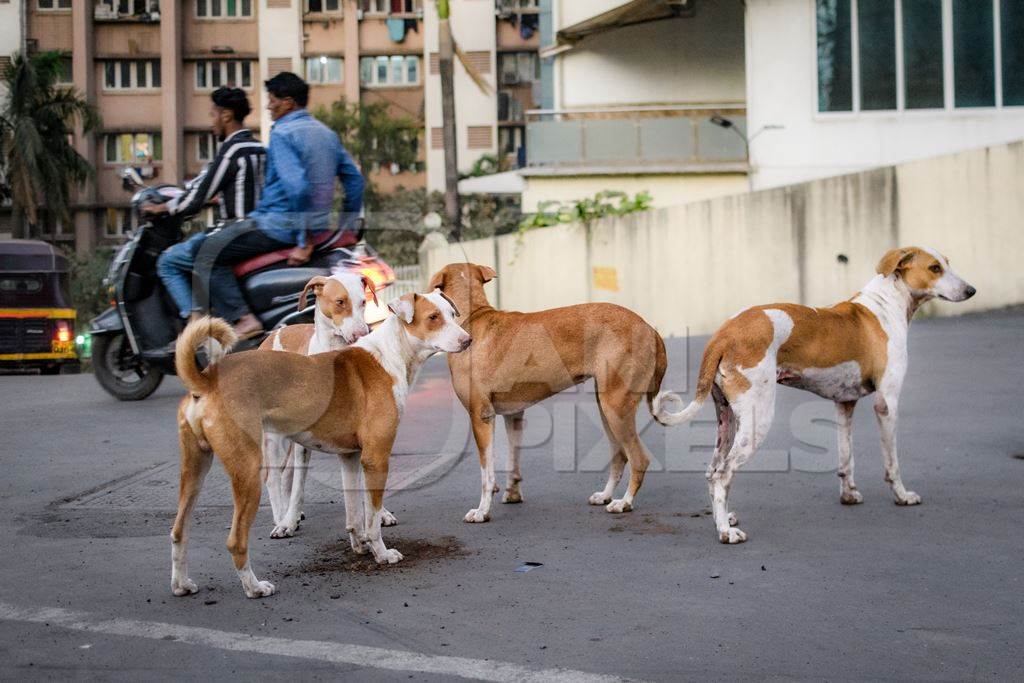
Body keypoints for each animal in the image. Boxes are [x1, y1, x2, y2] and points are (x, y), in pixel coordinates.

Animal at [171, 290, 471, 602]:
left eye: (452, 313)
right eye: (433, 317)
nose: (467, 340)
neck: (389, 355)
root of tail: (206, 380)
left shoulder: (350, 458)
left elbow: (354, 514)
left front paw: (360, 546)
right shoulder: (375, 458)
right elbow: (373, 517)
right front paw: (381, 553)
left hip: (194, 471)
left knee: (179, 531)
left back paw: (181, 584)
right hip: (248, 471)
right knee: (236, 540)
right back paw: (254, 587)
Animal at [425, 262, 671, 524]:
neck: (473, 316)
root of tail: (649, 328)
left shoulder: (481, 416)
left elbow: (486, 474)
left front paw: (482, 511)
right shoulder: (513, 415)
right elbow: (512, 461)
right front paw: (513, 494)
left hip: (615, 408)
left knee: (639, 459)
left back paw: (624, 503)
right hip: (608, 408)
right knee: (621, 456)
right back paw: (605, 496)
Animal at [651, 245, 978, 544]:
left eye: (948, 263)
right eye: (935, 268)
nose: (971, 290)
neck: (884, 306)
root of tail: (724, 334)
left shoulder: (844, 403)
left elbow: (846, 459)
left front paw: (849, 494)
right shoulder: (887, 403)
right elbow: (892, 463)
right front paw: (902, 495)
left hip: (727, 420)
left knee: (712, 470)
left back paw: (724, 518)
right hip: (757, 420)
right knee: (723, 474)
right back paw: (725, 532)